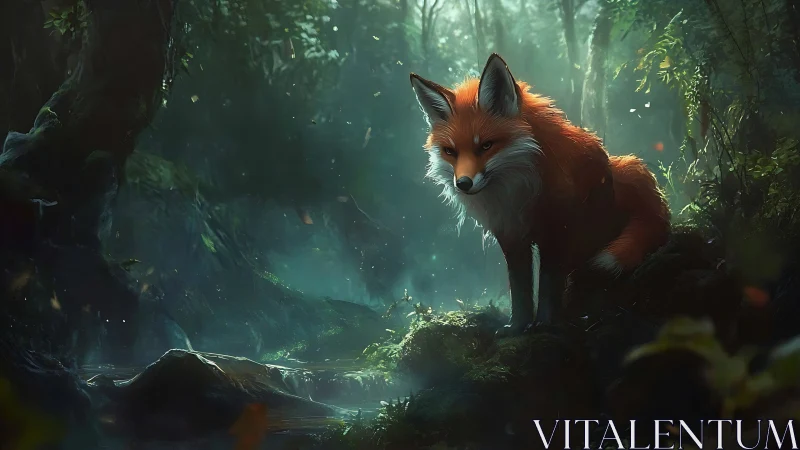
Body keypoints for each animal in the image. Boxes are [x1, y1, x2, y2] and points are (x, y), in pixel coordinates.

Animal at [410, 53, 671, 335]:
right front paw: (517, 326)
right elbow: (520, 288)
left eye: (486, 146)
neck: (520, 195)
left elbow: (548, 283)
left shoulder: (558, 230)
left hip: (623, 182)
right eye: (451, 152)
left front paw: (545, 323)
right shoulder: (511, 235)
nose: (463, 184)